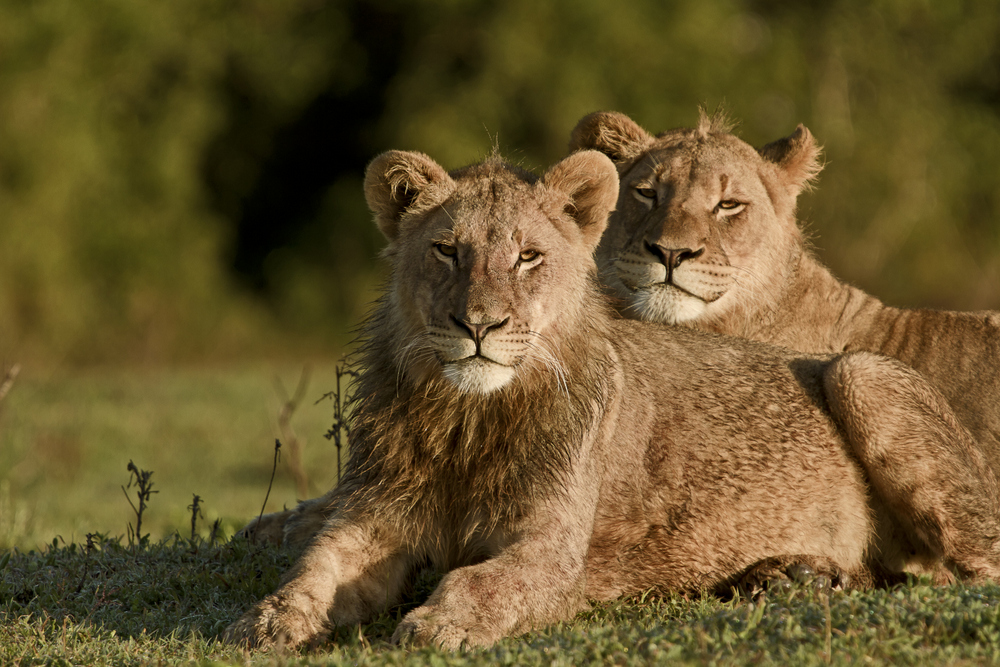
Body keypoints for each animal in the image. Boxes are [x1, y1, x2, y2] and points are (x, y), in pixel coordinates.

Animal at [225, 149, 1000, 648]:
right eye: (447, 250)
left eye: (528, 257)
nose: (479, 325)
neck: (465, 418)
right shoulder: (374, 517)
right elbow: (313, 570)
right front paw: (264, 621)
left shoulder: (552, 550)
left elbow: (481, 585)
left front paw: (436, 624)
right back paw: (792, 577)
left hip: (861, 372)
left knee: (969, 571)